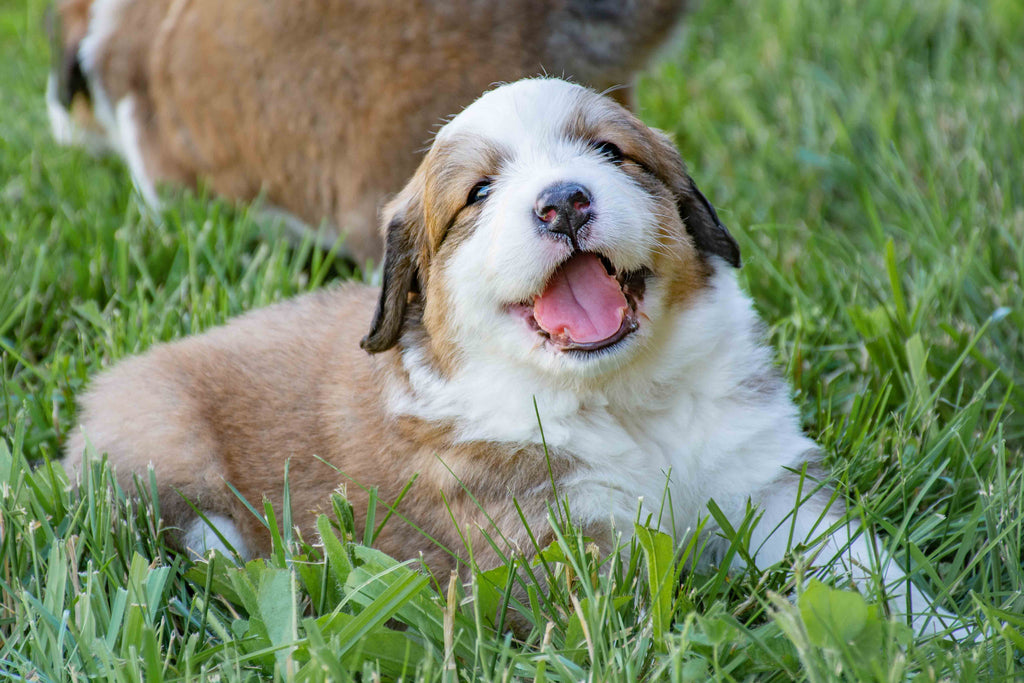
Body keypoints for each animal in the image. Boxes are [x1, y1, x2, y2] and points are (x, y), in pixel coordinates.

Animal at [66, 77, 966, 638]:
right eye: (479, 194)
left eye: (609, 153)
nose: (563, 200)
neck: (626, 400)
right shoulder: (563, 549)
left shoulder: (776, 487)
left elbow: (867, 565)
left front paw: (951, 631)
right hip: (157, 425)